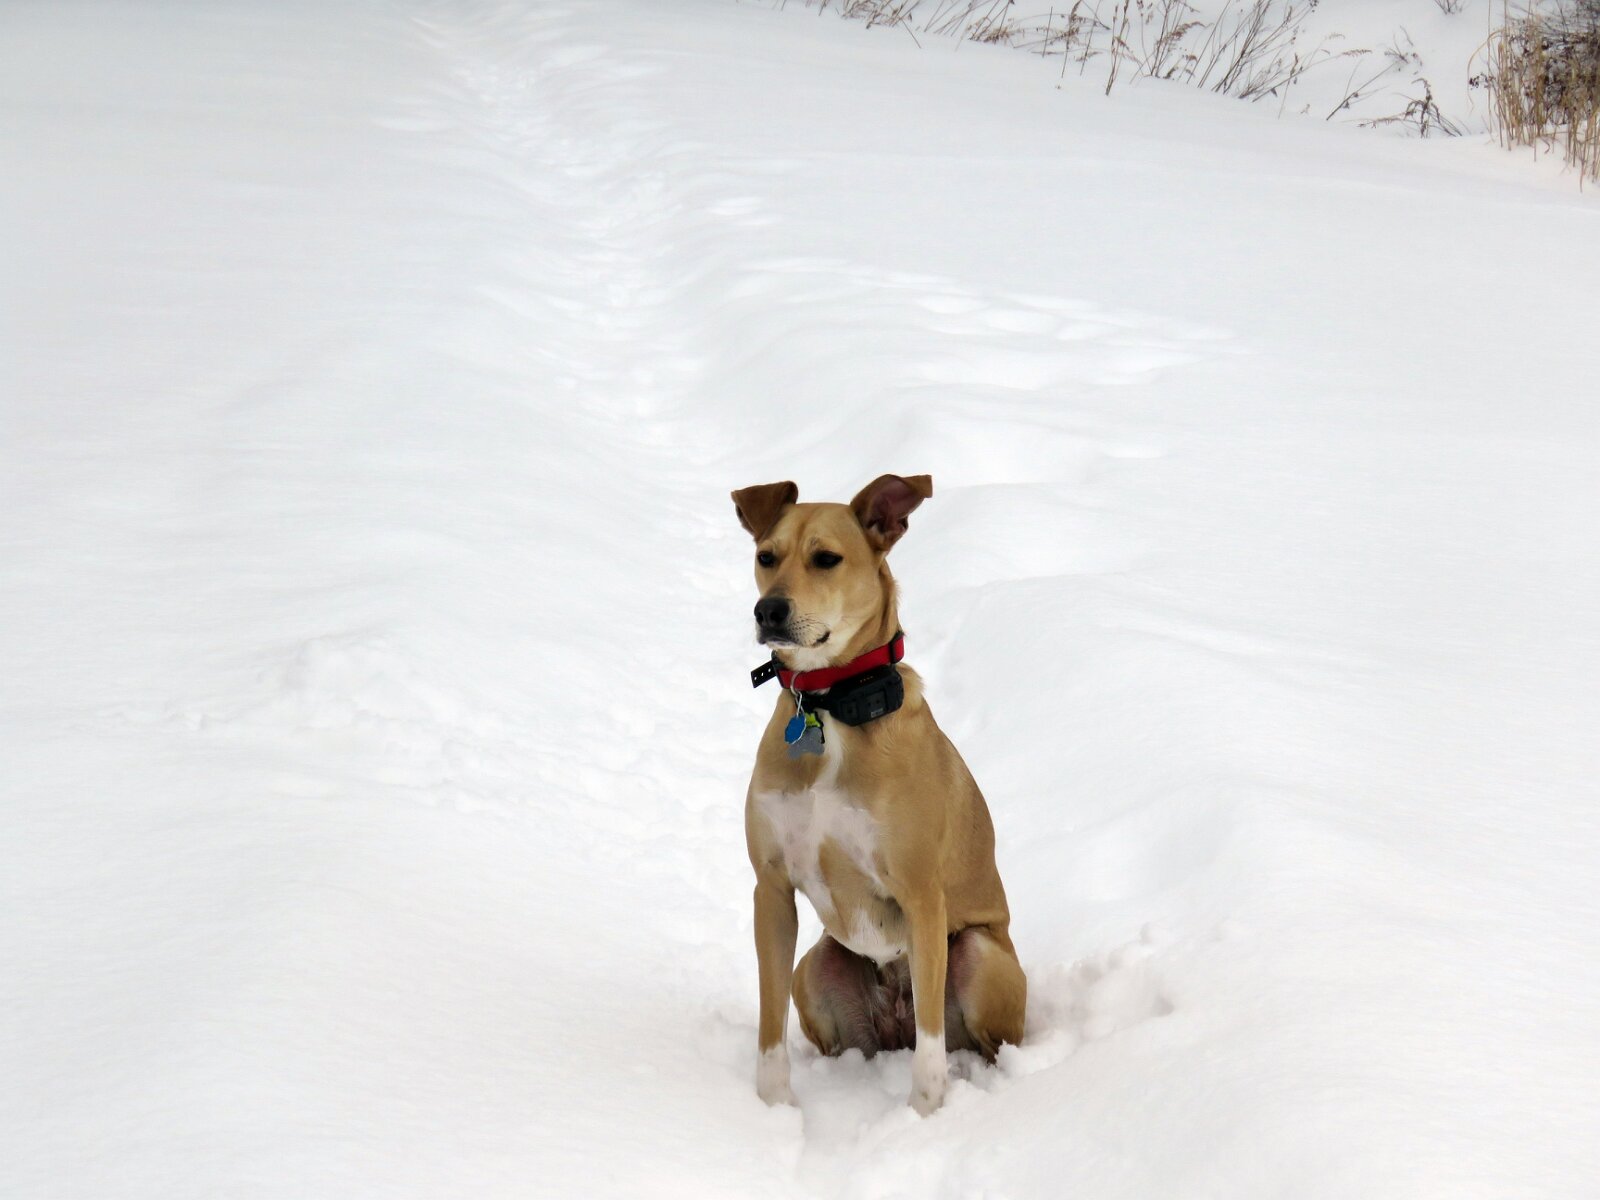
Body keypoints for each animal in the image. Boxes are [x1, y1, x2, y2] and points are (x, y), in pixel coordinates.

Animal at [732, 474, 1025, 1115]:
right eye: (765, 557)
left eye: (826, 559)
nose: (769, 610)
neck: (828, 707)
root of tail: (891, 1025)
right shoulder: (772, 889)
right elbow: (768, 1029)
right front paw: (773, 1108)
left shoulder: (921, 896)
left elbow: (931, 1049)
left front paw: (924, 1114)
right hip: (815, 968)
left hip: (979, 956)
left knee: (974, 1038)